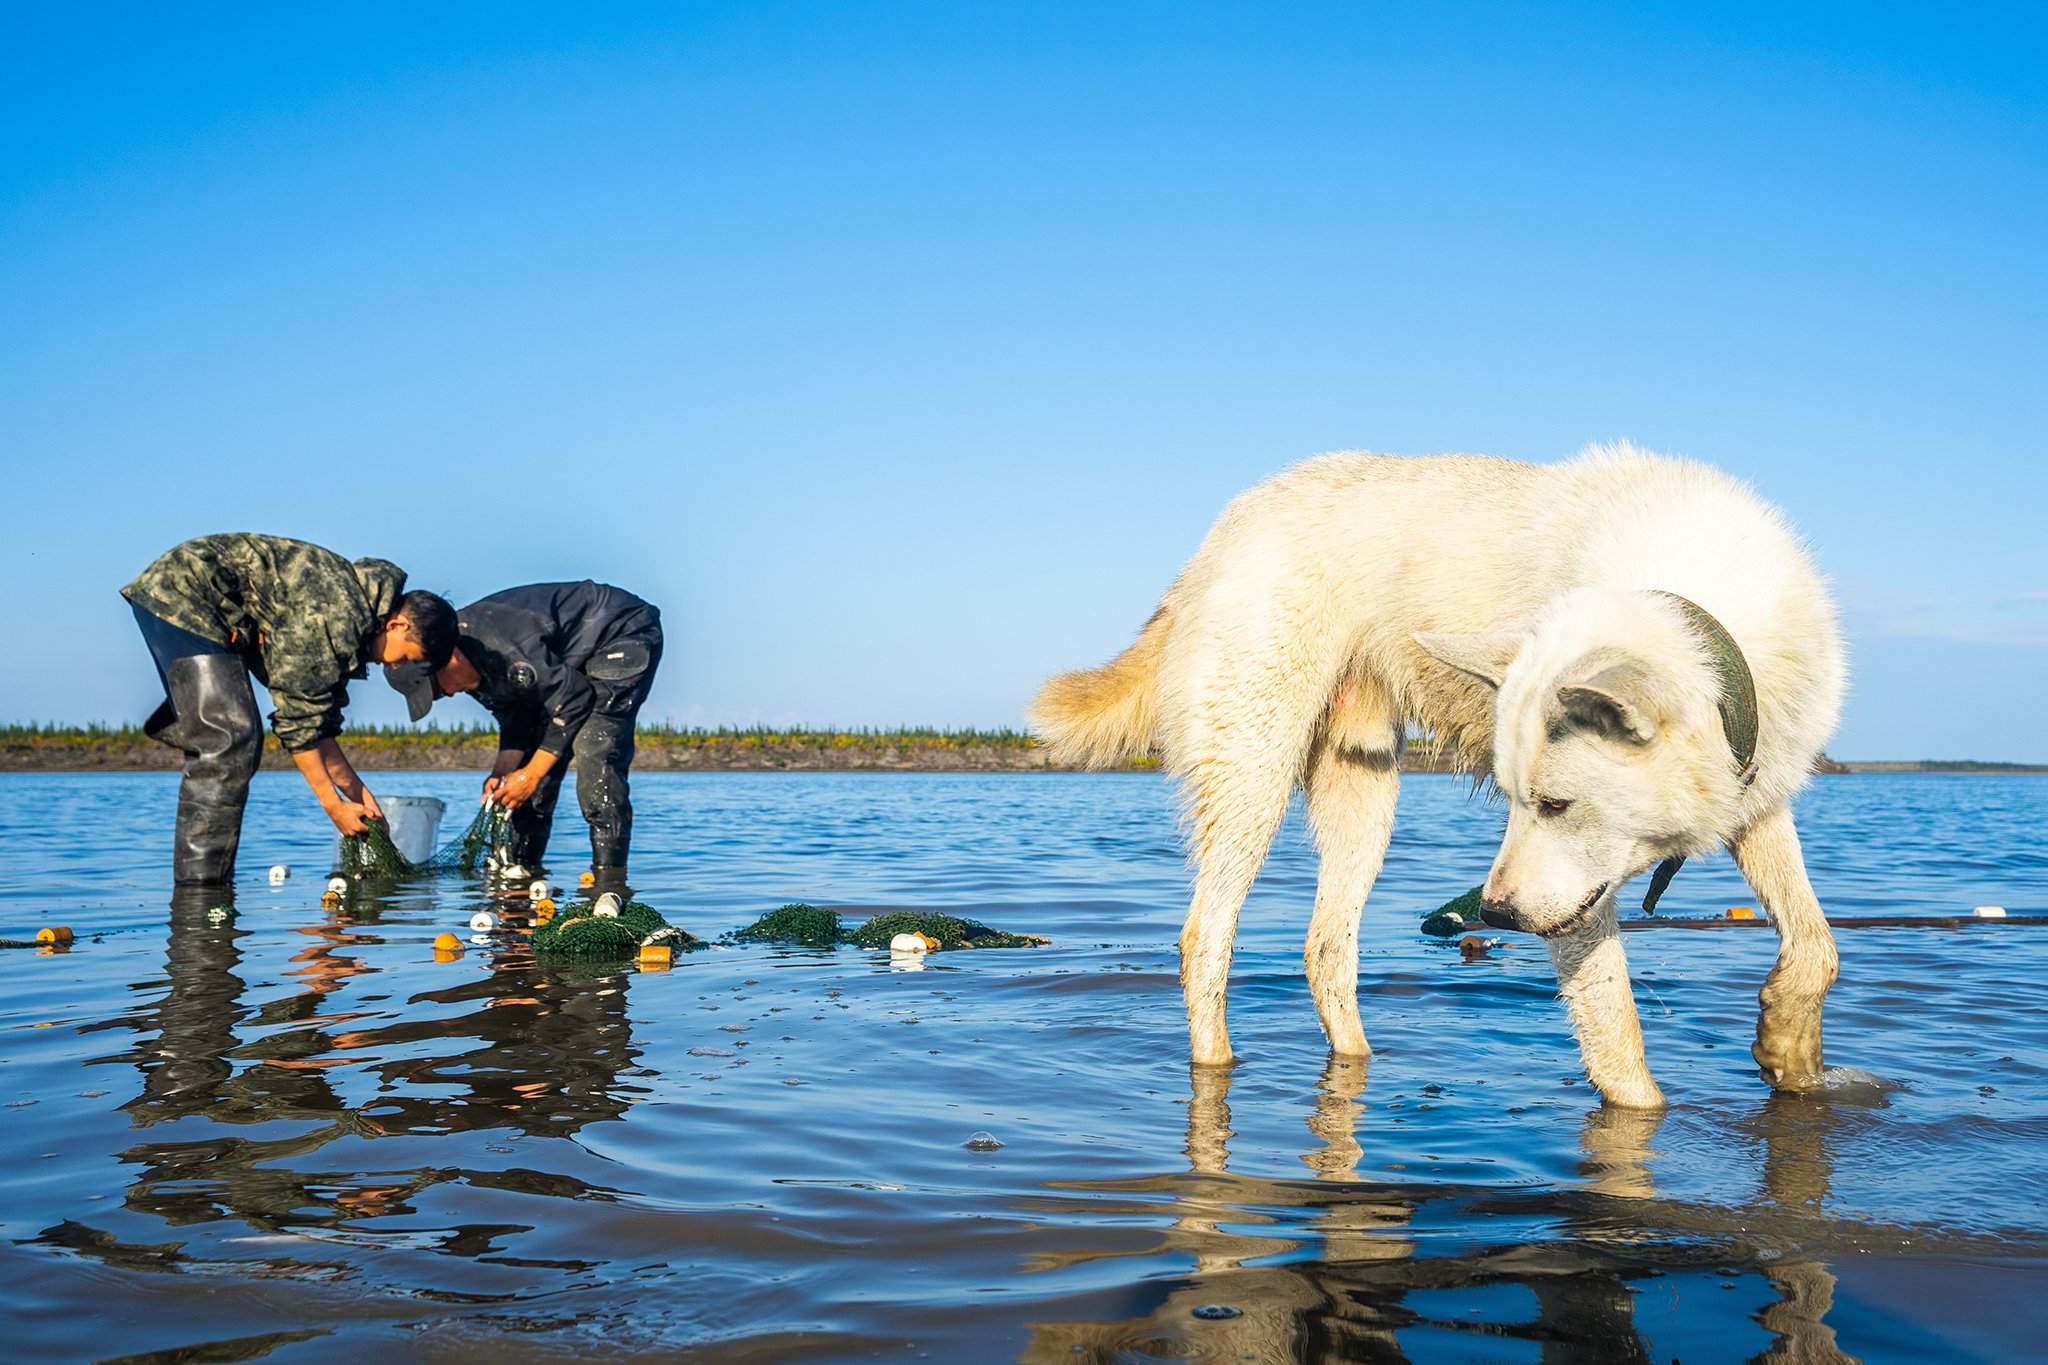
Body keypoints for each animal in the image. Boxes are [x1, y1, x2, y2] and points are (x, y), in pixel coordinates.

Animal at [1032, 448, 1851, 1113]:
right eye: (1517, 798)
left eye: (1555, 802)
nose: (1493, 911)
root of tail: (1223, 532)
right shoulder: (1576, 907)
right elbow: (1620, 1044)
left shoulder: (1757, 802)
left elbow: (1818, 942)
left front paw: (1789, 1046)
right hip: (1252, 769)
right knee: (1206, 935)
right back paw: (1217, 1070)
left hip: (1363, 795)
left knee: (1326, 946)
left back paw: (1359, 1066)